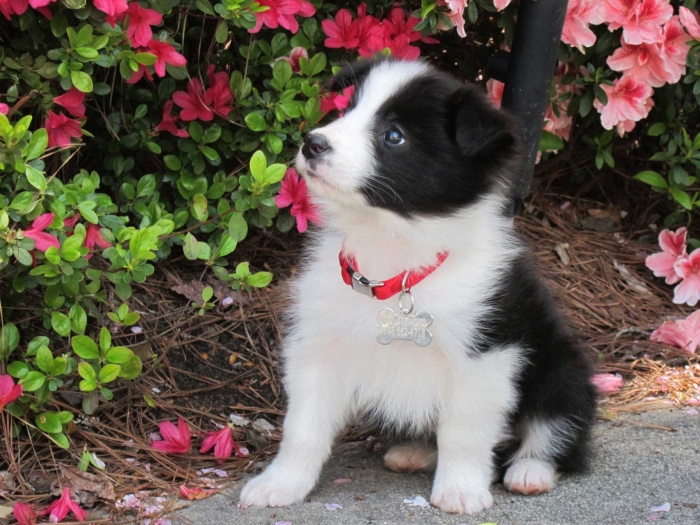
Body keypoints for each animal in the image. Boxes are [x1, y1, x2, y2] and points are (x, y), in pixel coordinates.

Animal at [241, 57, 596, 512]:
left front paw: (461, 490)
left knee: (555, 428)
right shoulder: (319, 345)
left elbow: (463, 431)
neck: (393, 251)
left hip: (562, 372)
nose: (312, 143)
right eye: (348, 110)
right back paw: (415, 452)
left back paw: (530, 471)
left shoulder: (485, 355)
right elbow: (302, 426)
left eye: (394, 135)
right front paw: (280, 483)